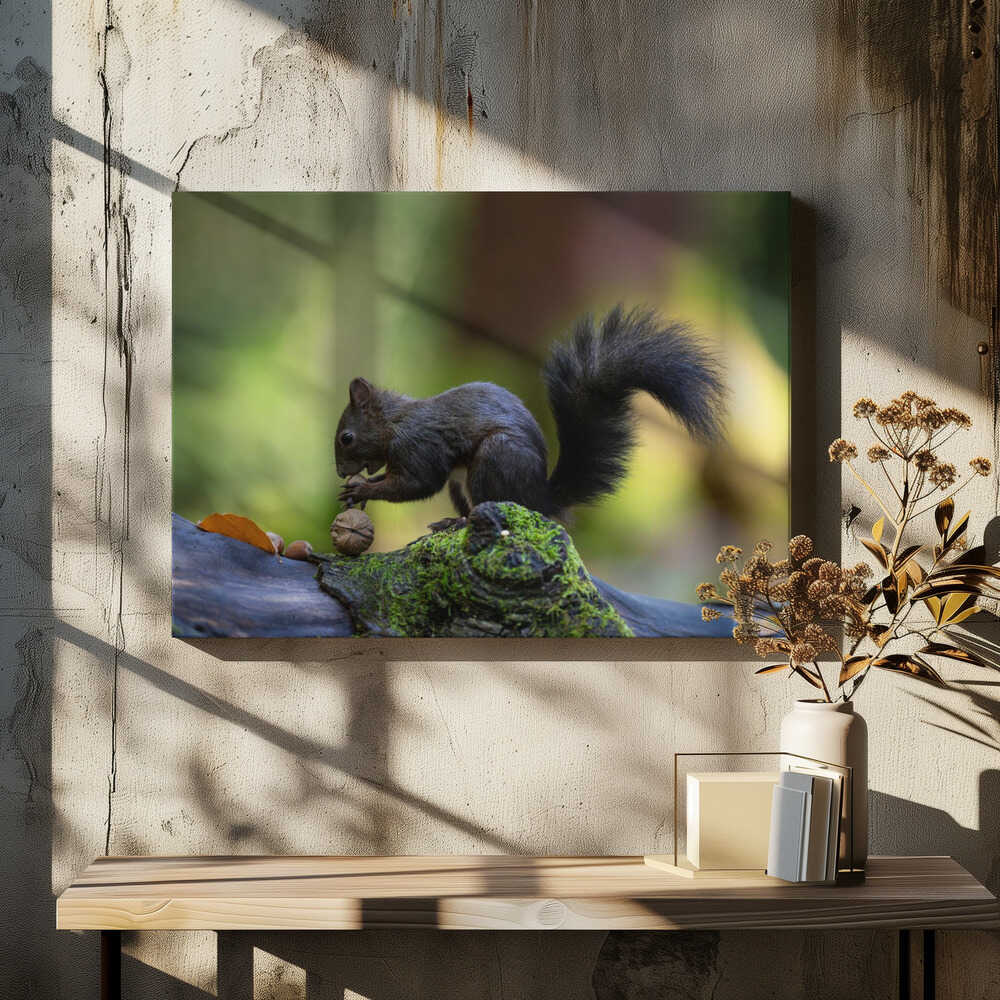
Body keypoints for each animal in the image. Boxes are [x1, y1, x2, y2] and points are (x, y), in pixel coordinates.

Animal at [335, 306, 724, 523]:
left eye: (346, 437)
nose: (340, 472)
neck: (394, 424)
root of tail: (540, 497)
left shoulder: (418, 446)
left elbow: (417, 484)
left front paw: (364, 487)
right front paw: (358, 487)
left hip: (495, 459)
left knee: (492, 506)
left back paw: (460, 524)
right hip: (461, 483)